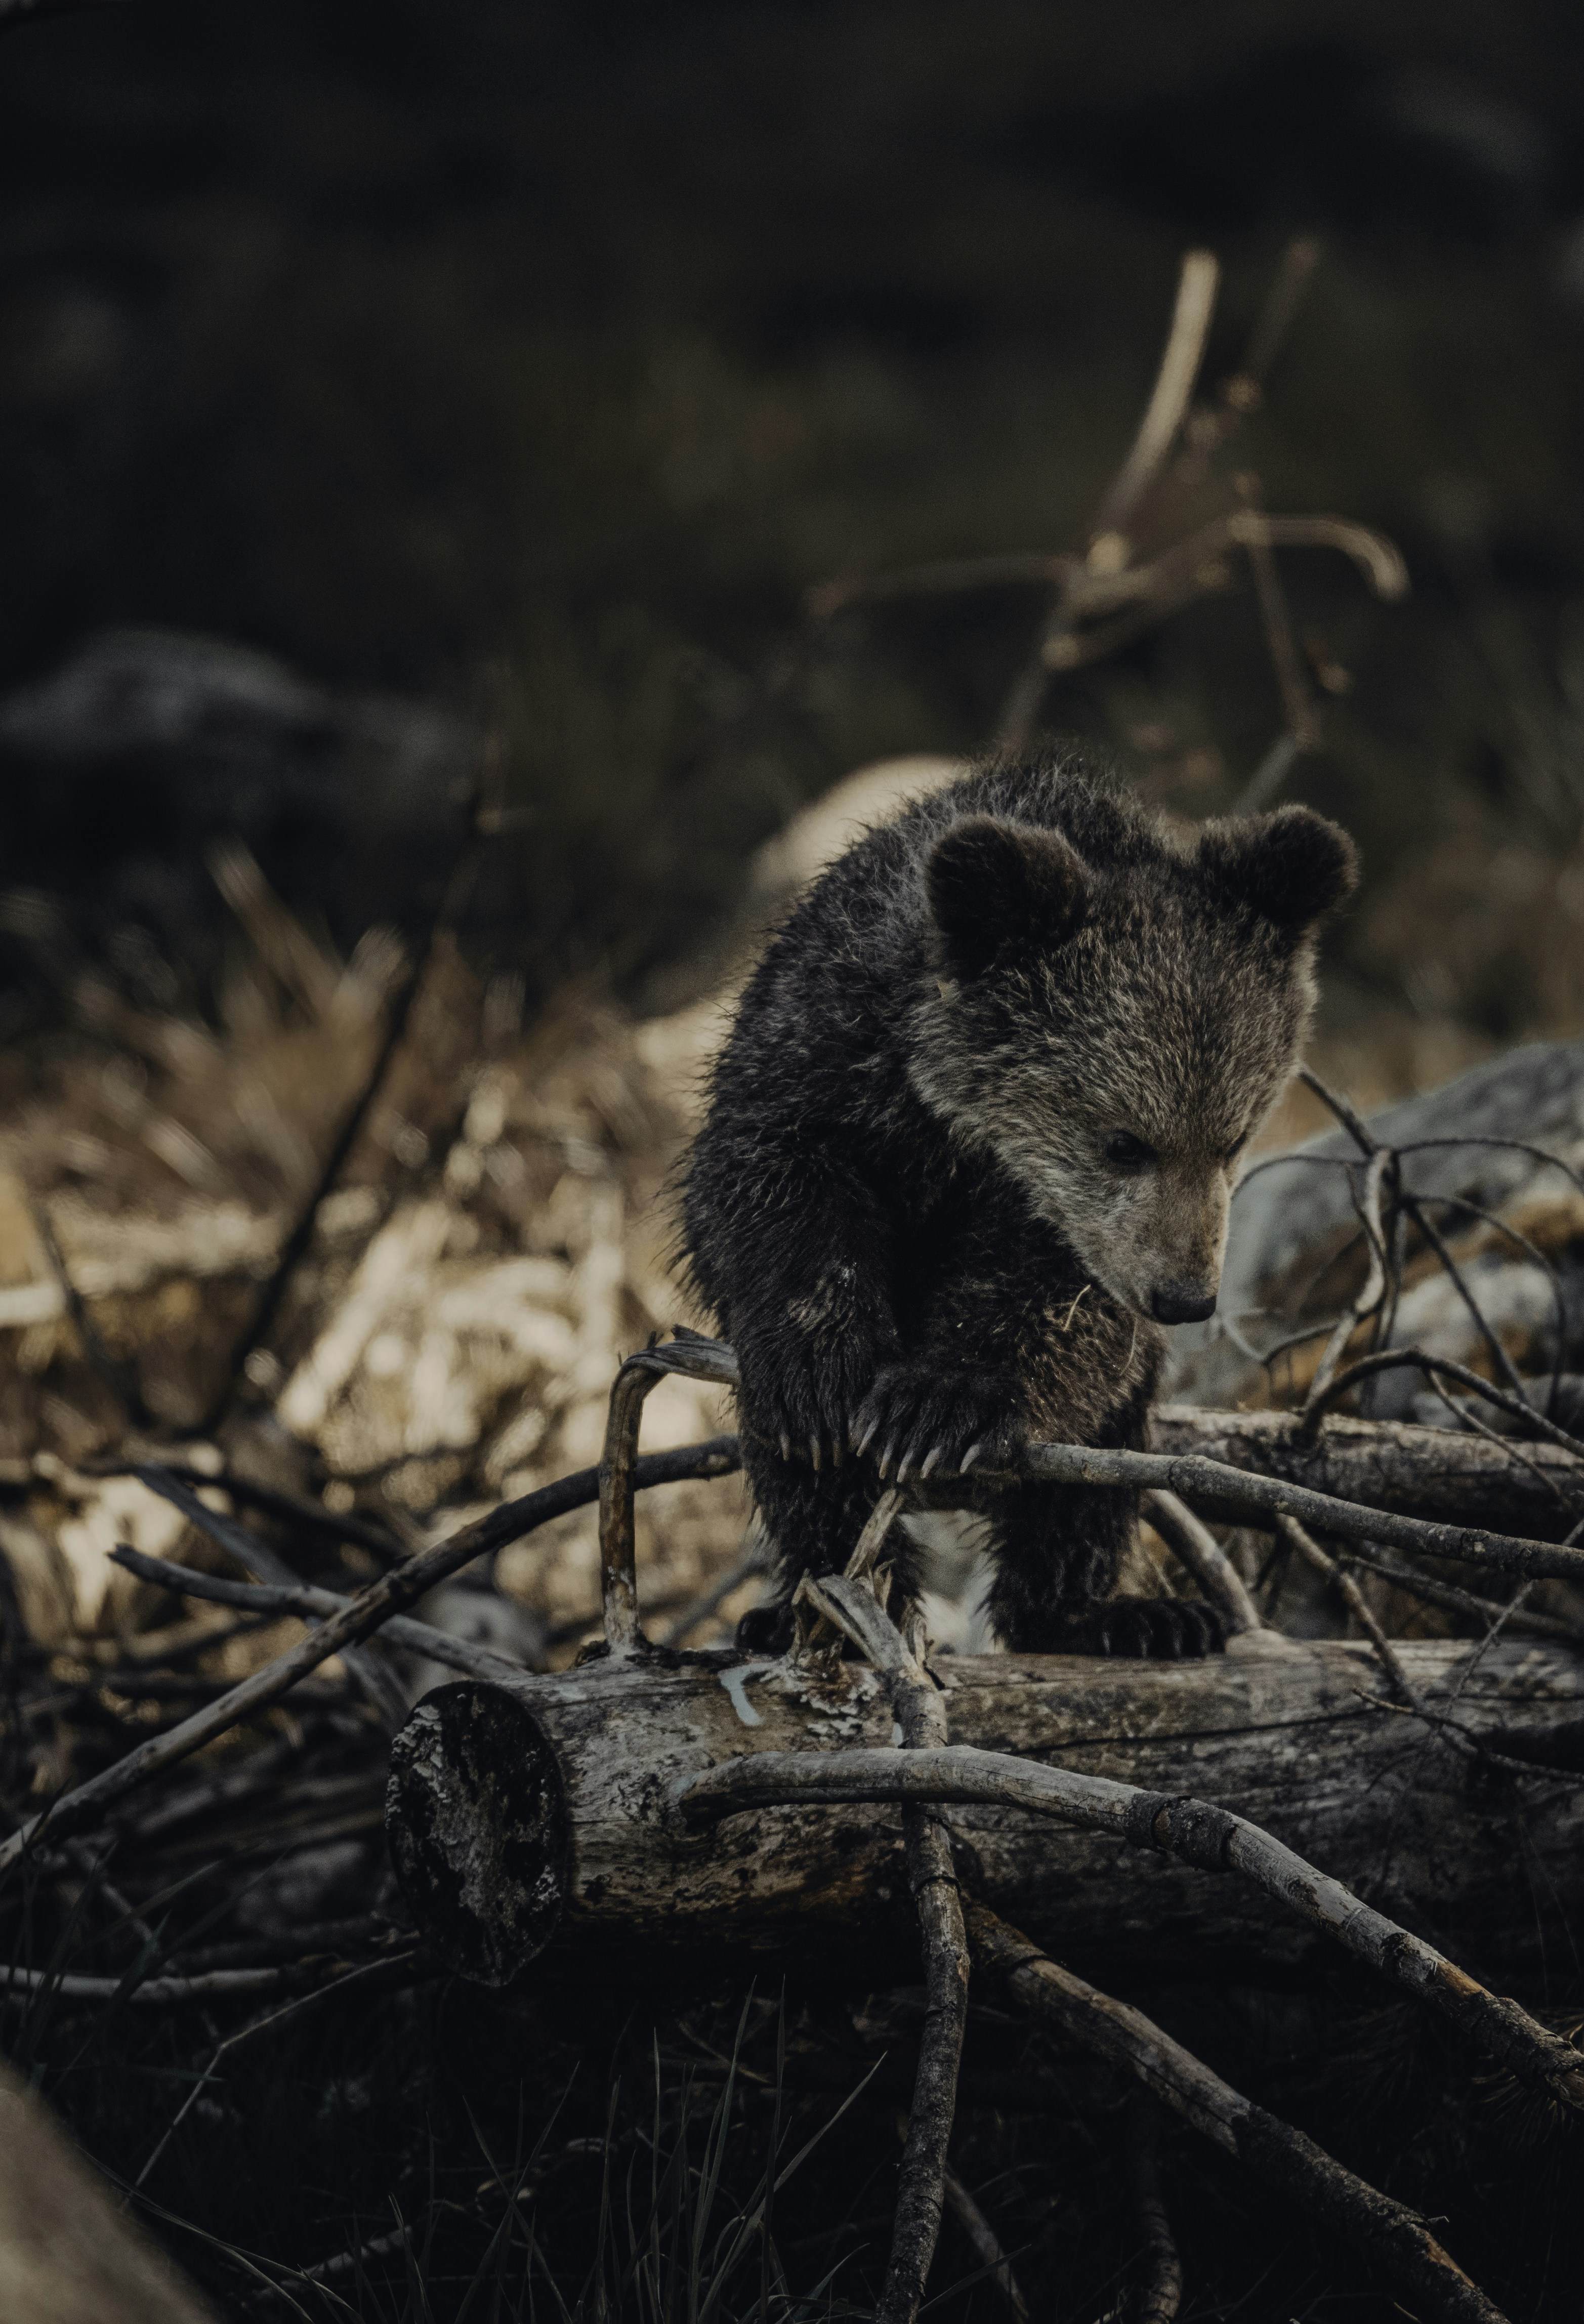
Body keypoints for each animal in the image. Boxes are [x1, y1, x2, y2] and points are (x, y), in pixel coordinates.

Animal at [679, 751, 1358, 1657]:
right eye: (1124, 1140)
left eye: (1234, 1136)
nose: (1184, 1297)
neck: (962, 1123)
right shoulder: (819, 1055)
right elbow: (761, 1190)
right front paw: (819, 1377)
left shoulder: (1070, 1237)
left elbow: (1058, 1314)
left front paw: (938, 1407)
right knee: (803, 1485)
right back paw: (816, 1605)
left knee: (1089, 1476)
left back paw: (1114, 1614)